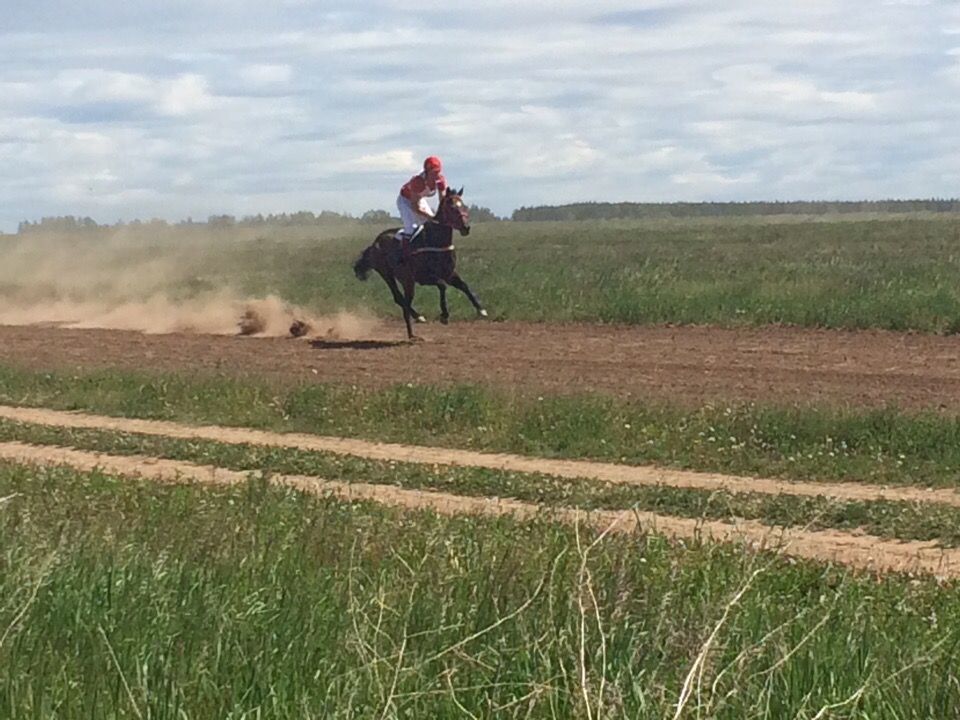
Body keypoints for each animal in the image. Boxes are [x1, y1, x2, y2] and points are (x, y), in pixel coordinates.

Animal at [350, 188, 488, 340]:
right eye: (452, 207)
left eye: (463, 206)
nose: (466, 227)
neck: (436, 242)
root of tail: (374, 243)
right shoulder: (424, 277)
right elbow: (442, 285)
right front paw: (444, 315)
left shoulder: (450, 274)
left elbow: (464, 286)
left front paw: (481, 310)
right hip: (388, 274)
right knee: (399, 298)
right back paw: (414, 327)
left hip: (405, 280)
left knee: (404, 300)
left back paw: (415, 323)